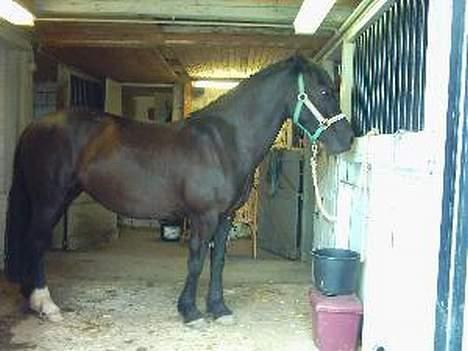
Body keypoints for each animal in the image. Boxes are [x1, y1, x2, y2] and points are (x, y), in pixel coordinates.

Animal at [3, 55, 354, 328]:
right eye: (323, 90)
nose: (348, 139)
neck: (225, 142)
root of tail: (36, 125)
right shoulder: (203, 217)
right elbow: (196, 261)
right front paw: (190, 312)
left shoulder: (224, 218)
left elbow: (218, 261)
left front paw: (219, 309)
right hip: (49, 199)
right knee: (35, 242)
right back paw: (46, 304)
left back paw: (31, 300)